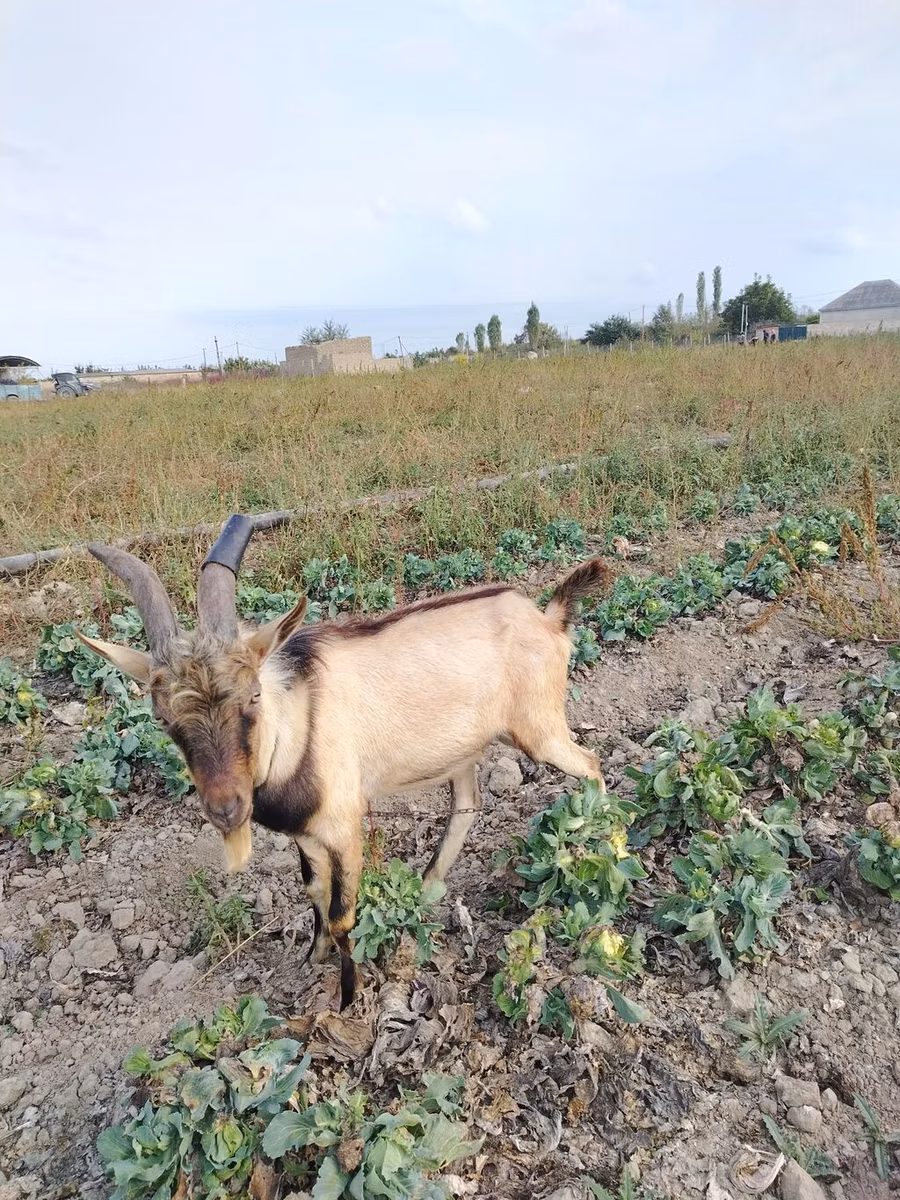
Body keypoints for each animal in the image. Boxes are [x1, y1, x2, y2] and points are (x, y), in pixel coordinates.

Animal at [78, 515, 611, 1008]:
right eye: (162, 718)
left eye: (253, 697)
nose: (227, 809)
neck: (294, 724)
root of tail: (549, 618)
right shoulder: (306, 834)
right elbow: (313, 892)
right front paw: (310, 961)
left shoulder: (345, 826)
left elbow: (342, 915)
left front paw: (348, 999)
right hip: (463, 750)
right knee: (467, 804)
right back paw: (427, 889)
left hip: (540, 728)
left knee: (590, 763)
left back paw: (599, 842)